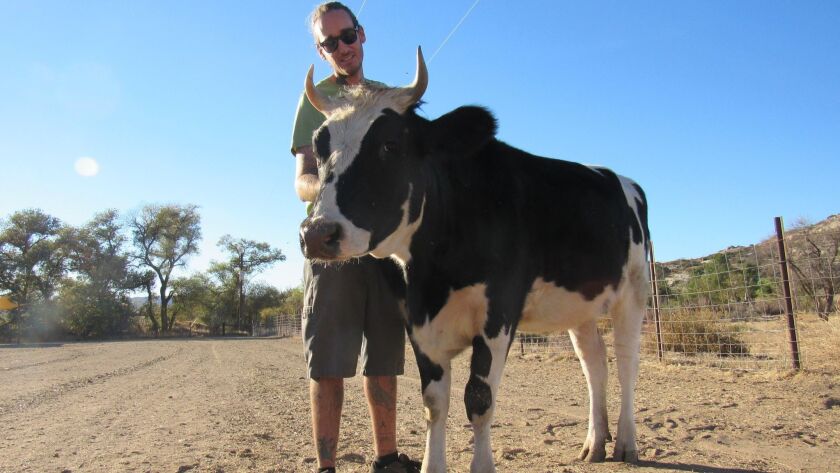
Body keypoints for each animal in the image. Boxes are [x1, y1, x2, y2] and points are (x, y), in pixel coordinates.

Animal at [298, 48, 652, 472]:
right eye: (319, 147)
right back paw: (595, 443)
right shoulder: (417, 322)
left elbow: (479, 400)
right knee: (594, 364)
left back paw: (627, 442)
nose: (317, 233)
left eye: (389, 145)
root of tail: (620, 178)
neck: (433, 273)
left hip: (633, 290)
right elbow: (435, 404)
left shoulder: (498, 316)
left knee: (627, 362)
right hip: (579, 307)